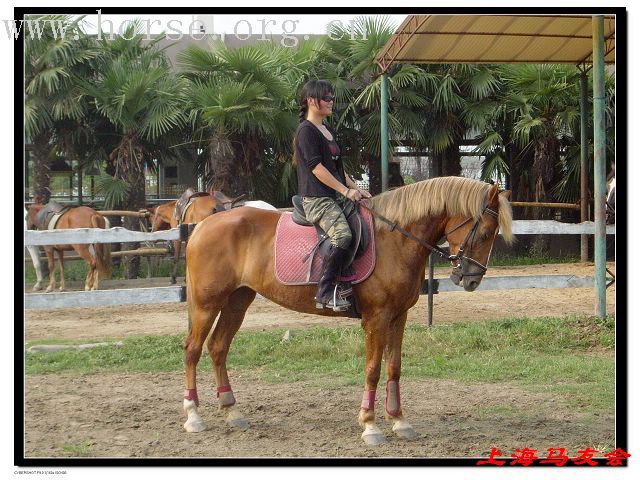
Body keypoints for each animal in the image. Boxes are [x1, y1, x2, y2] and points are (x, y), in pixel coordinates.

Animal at [182, 176, 512, 446]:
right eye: (485, 233)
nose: (471, 279)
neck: (395, 238)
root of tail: (204, 225)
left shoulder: (398, 317)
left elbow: (394, 367)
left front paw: (399, 421)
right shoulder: (376, 319)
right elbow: (373, 369)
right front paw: (370, 425)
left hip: (237, 301)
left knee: (218, 347)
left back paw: (231, 411)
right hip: (207, 304)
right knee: (193, 349)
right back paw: (194, 415)